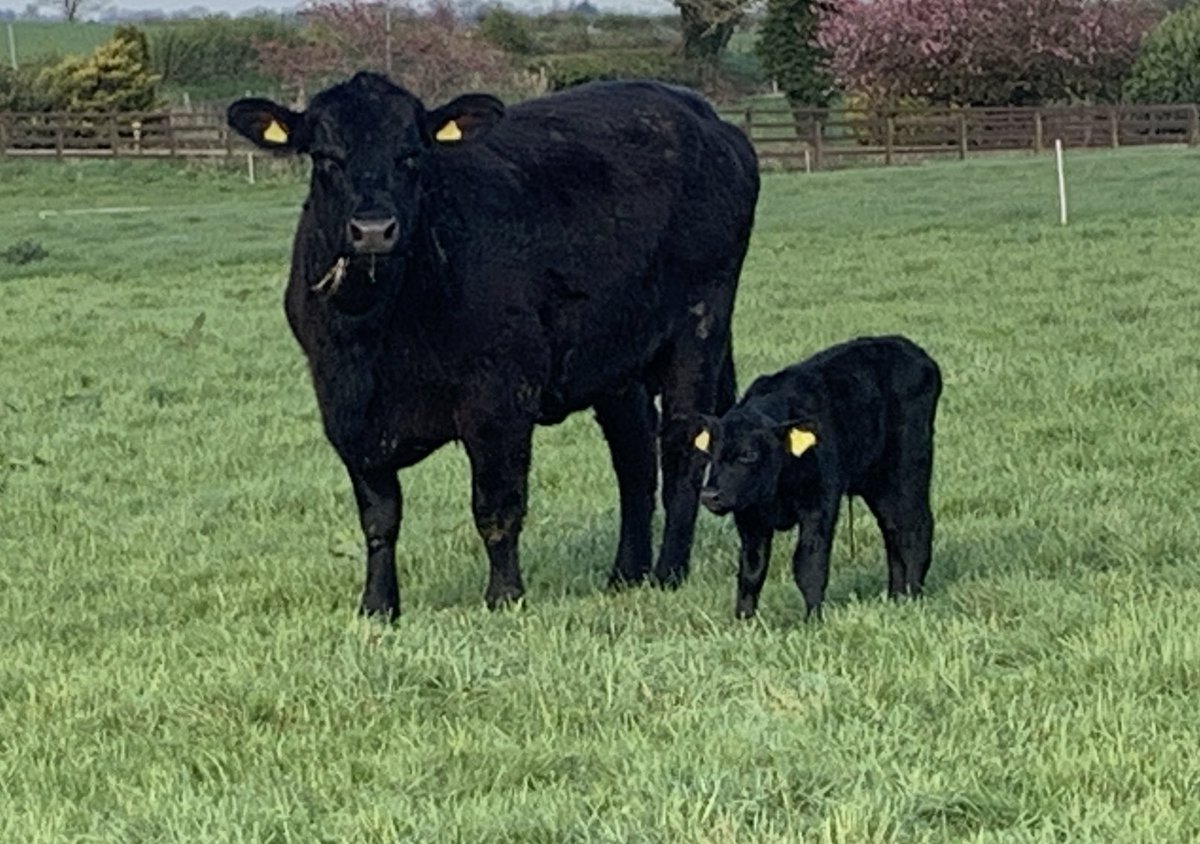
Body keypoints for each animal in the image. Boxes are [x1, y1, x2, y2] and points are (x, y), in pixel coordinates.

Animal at [226, 72, 759, 619]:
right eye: (324, 157)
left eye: (411, 154)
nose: (373, 229)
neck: (375, 330)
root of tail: (697, 111)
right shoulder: (345, 410)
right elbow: (379, 518)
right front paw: (377, 605)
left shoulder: (500, 397)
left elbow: (496, 508)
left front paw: (504, 596)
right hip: (616, 363)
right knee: (634, 460)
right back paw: (625, 574)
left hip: (698, 329)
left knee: (682, 455)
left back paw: (668, 571)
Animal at [693, 335, 941, 619]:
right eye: (710, 452)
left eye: (749, 454)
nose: (710, 495)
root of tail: (909, 348)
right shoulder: (749, 514)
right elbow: (752, 570)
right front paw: (744, 619)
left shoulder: (819, 504)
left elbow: (808, 564)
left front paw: (813, 618)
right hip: (879, 484)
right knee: (892, 530)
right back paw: (896, 597)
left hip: (908, 470)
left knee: (915, 528)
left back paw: (914, 597)